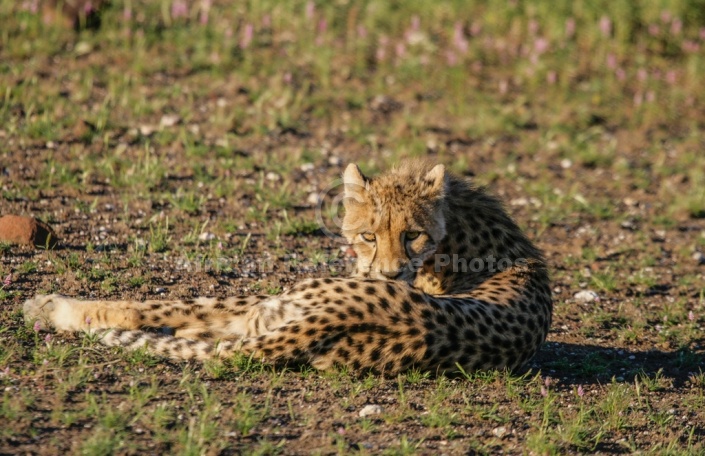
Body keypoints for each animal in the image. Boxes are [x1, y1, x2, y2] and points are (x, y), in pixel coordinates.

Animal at [22, 160, 552, 374]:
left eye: (412, 235)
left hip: (278, 309)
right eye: (368, 235)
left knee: (198, 323)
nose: (387, 274)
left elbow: (168, 305)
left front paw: (57, 307)